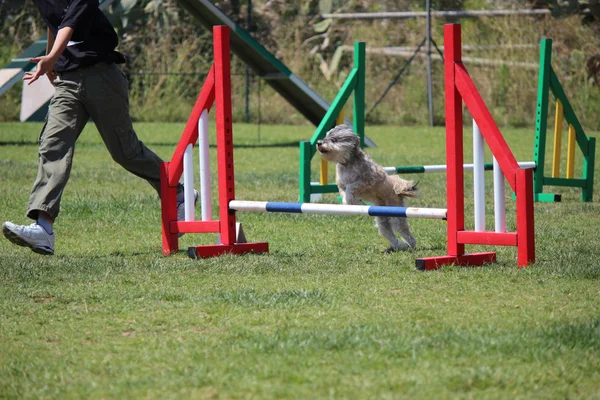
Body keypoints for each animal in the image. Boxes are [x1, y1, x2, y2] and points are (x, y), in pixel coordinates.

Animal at [316, 123, 420, 252]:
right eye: (326, 136)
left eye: (333, 139)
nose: (319, 143)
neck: (347, 163)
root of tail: (398, 192)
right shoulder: (341, 185)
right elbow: (344, 192)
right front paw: (348, 203)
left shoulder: (367, 180)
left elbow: (351, 188)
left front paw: (353, 202)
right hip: (382, 219)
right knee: (388, 233)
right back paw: (399, 246)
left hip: (396, 215)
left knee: (404, 231)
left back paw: (411, 245)